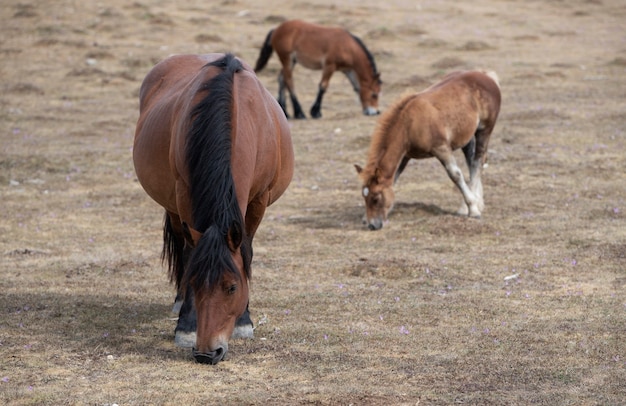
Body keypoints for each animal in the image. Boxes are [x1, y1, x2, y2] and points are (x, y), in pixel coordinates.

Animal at [133, 53, 294, 364]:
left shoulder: (259, 200)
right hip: (173, 205)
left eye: (232, 287)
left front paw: (244, 321)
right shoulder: (184, 193)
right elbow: (190, 254)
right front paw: (186, 325)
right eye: (195, 283)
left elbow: (247, 251)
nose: (207, 353)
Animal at [354, 69, 500, 228]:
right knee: (472, 162)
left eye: (376, 198)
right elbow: (394, 178)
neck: (409, 124)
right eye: (364, 196)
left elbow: (455, 175)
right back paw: (478, 202)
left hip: (484, 129)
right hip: (466, 137)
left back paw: (466, 208)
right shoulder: (405, 155)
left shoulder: (441, 148)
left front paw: (473, 210)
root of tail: (486, 75)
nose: (372, 225)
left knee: (478, 161)